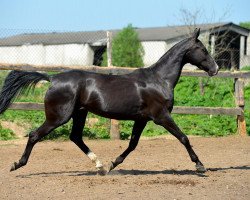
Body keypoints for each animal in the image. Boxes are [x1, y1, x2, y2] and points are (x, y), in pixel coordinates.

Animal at [0, 28, 218, 175]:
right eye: (202, 48)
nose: (215, 69)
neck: (159, 79)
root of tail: (52, 78)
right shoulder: (161, 116)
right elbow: (184, 137)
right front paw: (200, 166)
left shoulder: (142, 119)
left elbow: (132, 144)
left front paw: (113, 164)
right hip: (59, 117)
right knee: (34, 135)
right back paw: (16, 164)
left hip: (80, 113)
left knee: (75, 137)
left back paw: (100, 165)